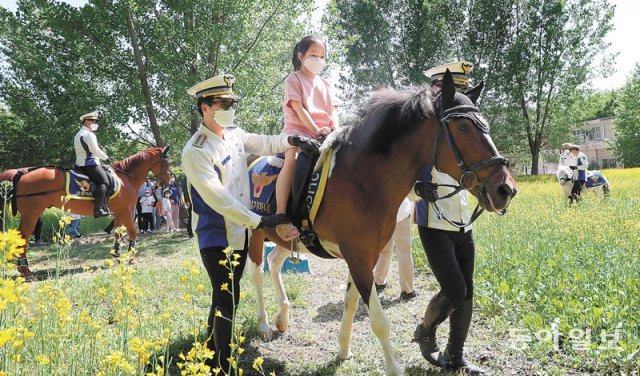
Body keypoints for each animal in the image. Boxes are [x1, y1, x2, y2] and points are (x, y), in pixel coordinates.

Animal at [0, 146, 171, 280]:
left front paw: (116, 253)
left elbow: (117, 233)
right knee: (23, 237)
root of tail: (22, 173)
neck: (125, 178)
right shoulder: (127, 211)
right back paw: (25, 271)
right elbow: (133, 232)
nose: (169, 180)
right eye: (167, 162)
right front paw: (132, 256)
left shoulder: (118, 213)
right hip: (31, 215)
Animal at [245, 72, 516, 374]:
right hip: (255, 232)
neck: (362, 178)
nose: (505, 188)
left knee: (274, 263)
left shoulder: (364, 257)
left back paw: (282, 317)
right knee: (257, 273)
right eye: (463, 127)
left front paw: (343, 350)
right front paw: (393, 367)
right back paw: (264, 325)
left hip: (286, 238)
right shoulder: (359, 258)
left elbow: (351, 303)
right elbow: (379, 321)